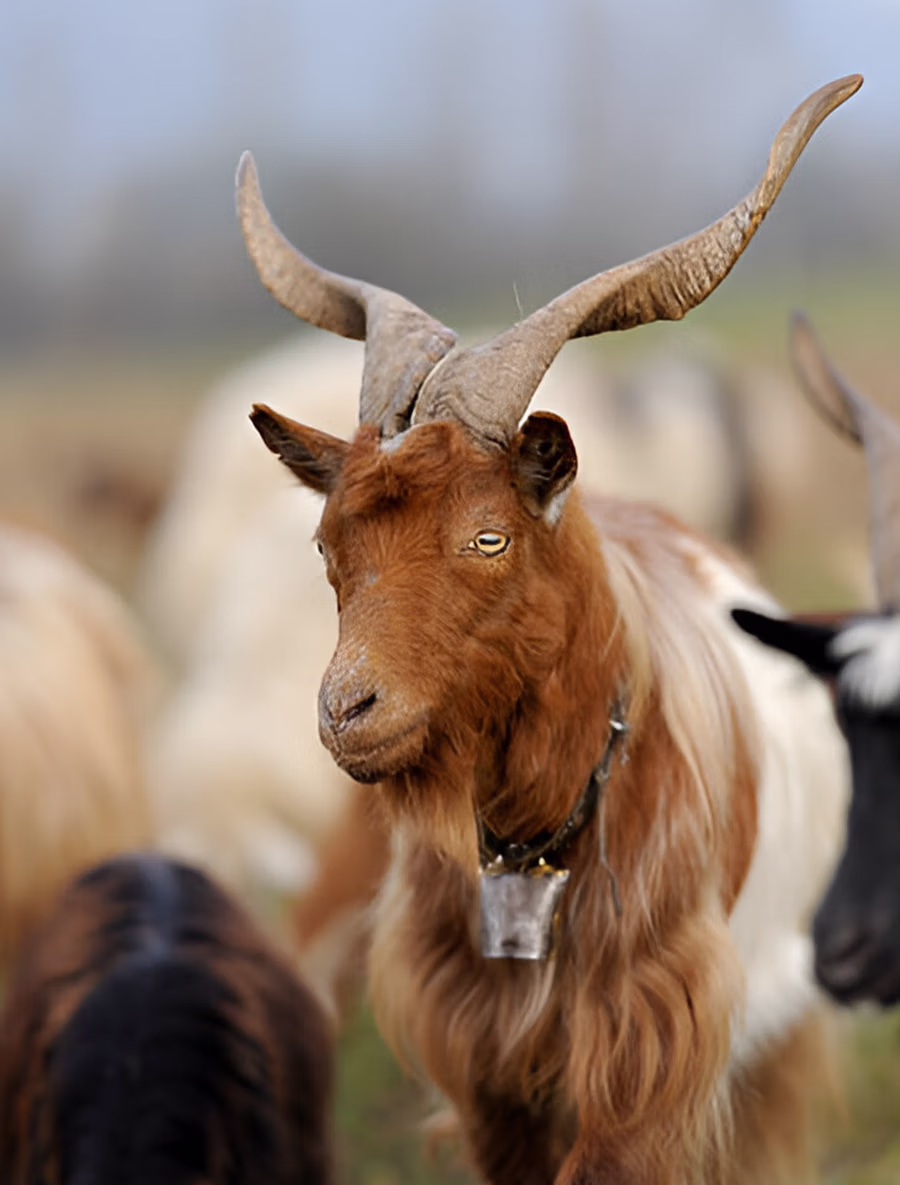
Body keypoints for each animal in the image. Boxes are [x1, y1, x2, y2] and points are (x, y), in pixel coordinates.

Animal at [238, 76, 859, 1185]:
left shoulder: (653, 1055)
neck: (534, 853)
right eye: (328, 540)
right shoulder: (486, 1071)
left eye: (488, 536)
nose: (349, 709)